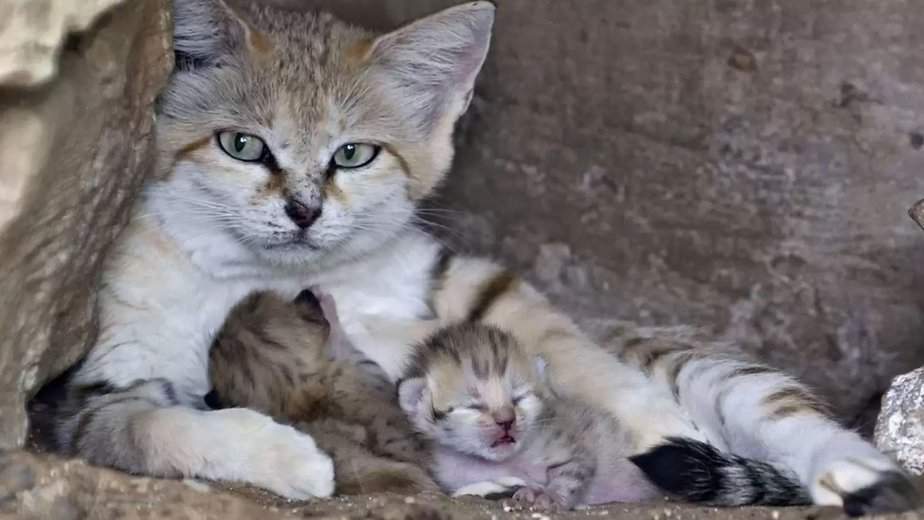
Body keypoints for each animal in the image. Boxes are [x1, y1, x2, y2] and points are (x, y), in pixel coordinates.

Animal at [396, 322, 656, 510]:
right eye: (474, 406)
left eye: (519, 397)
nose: (506, 420)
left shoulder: (574, 448)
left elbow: (570, 473)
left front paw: (549, 495)